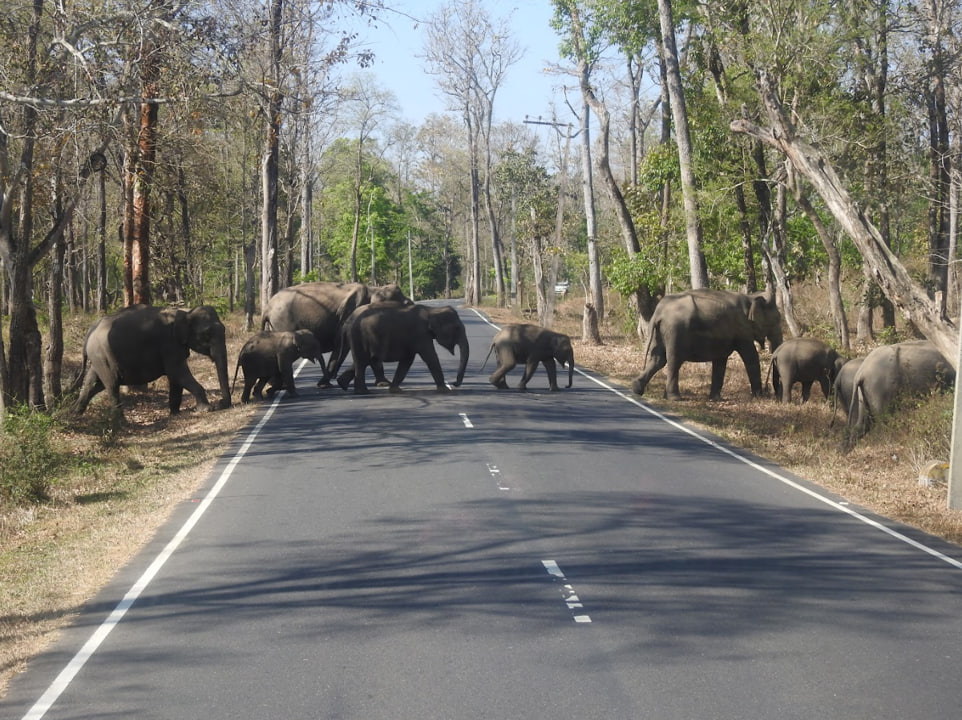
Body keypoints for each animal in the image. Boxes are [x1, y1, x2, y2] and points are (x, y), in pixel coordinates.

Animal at [74, 304, 232, 417]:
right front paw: (207, 409)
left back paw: (75, 415)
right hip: (103, 356)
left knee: (93, 384)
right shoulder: (168, 343)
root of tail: (90, 330)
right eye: (207, 334)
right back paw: (120, 422)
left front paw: (175, 414)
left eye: (224, 329)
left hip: (98, 358)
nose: (221, 403)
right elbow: (177, 372)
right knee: (111, 384)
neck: (185, 312)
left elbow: (176, 378)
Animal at [261, 281, 409, 387]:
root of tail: (267, 308)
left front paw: (383, 383)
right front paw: (325, 384)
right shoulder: (348, 315)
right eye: (404, 302)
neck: (374, 289)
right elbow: (342, 345)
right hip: (282, 322)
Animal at [330, 302, 469, 394]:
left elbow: (407, 360)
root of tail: (348, 321)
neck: (431, 310)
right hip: (359, 337)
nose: (454, 383)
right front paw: (445, 390)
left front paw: (395, 390)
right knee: (362, 361)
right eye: (457, 328)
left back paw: (342, 384)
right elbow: (430, 357)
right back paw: (362, 392)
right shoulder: (421, 335)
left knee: (365, 360)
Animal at [631, 289, 783, 401]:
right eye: (776, 320)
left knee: (657, 359)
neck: (751, 297)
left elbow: (720, 361)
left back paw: (637, 389)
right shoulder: (742, 329)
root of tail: (658, 313)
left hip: (660, 332)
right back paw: (675, 398)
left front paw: (715, 399)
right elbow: (750, 357)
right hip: (675, 331)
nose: (774, 395)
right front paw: (759, 397)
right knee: (674, 360)